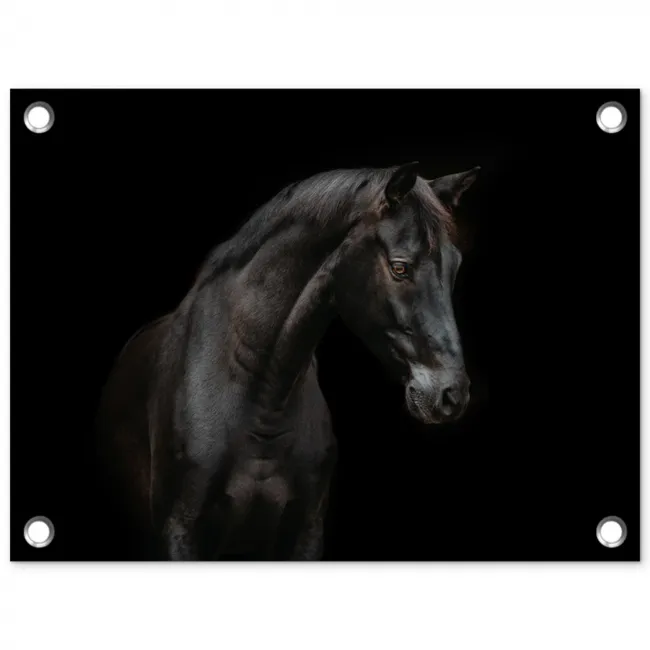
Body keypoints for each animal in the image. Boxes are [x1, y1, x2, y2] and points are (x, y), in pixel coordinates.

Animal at [95, 161, 480, 560]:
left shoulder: (306, 532)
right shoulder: (179, 532)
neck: (261, 399)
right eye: (400, 267)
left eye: (454, 266)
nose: (452, 395)